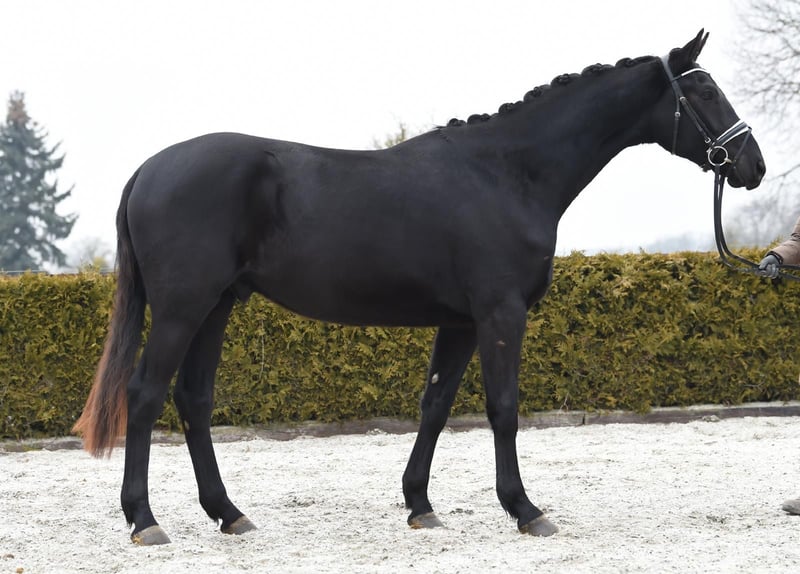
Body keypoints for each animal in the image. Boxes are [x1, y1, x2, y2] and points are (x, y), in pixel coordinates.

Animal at [73, 30, 765, 545]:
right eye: (705, 90)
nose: (752, 165)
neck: (506, 173)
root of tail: (148, 170)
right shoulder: (500, 314)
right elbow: (503, 409)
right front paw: (525, 510)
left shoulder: (459, 321)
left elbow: (435, 405)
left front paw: (420, 505)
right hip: (183, 308)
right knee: (145, 394)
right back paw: (145, 520)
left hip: (217, 306)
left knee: (193, 399)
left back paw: (229, 514)